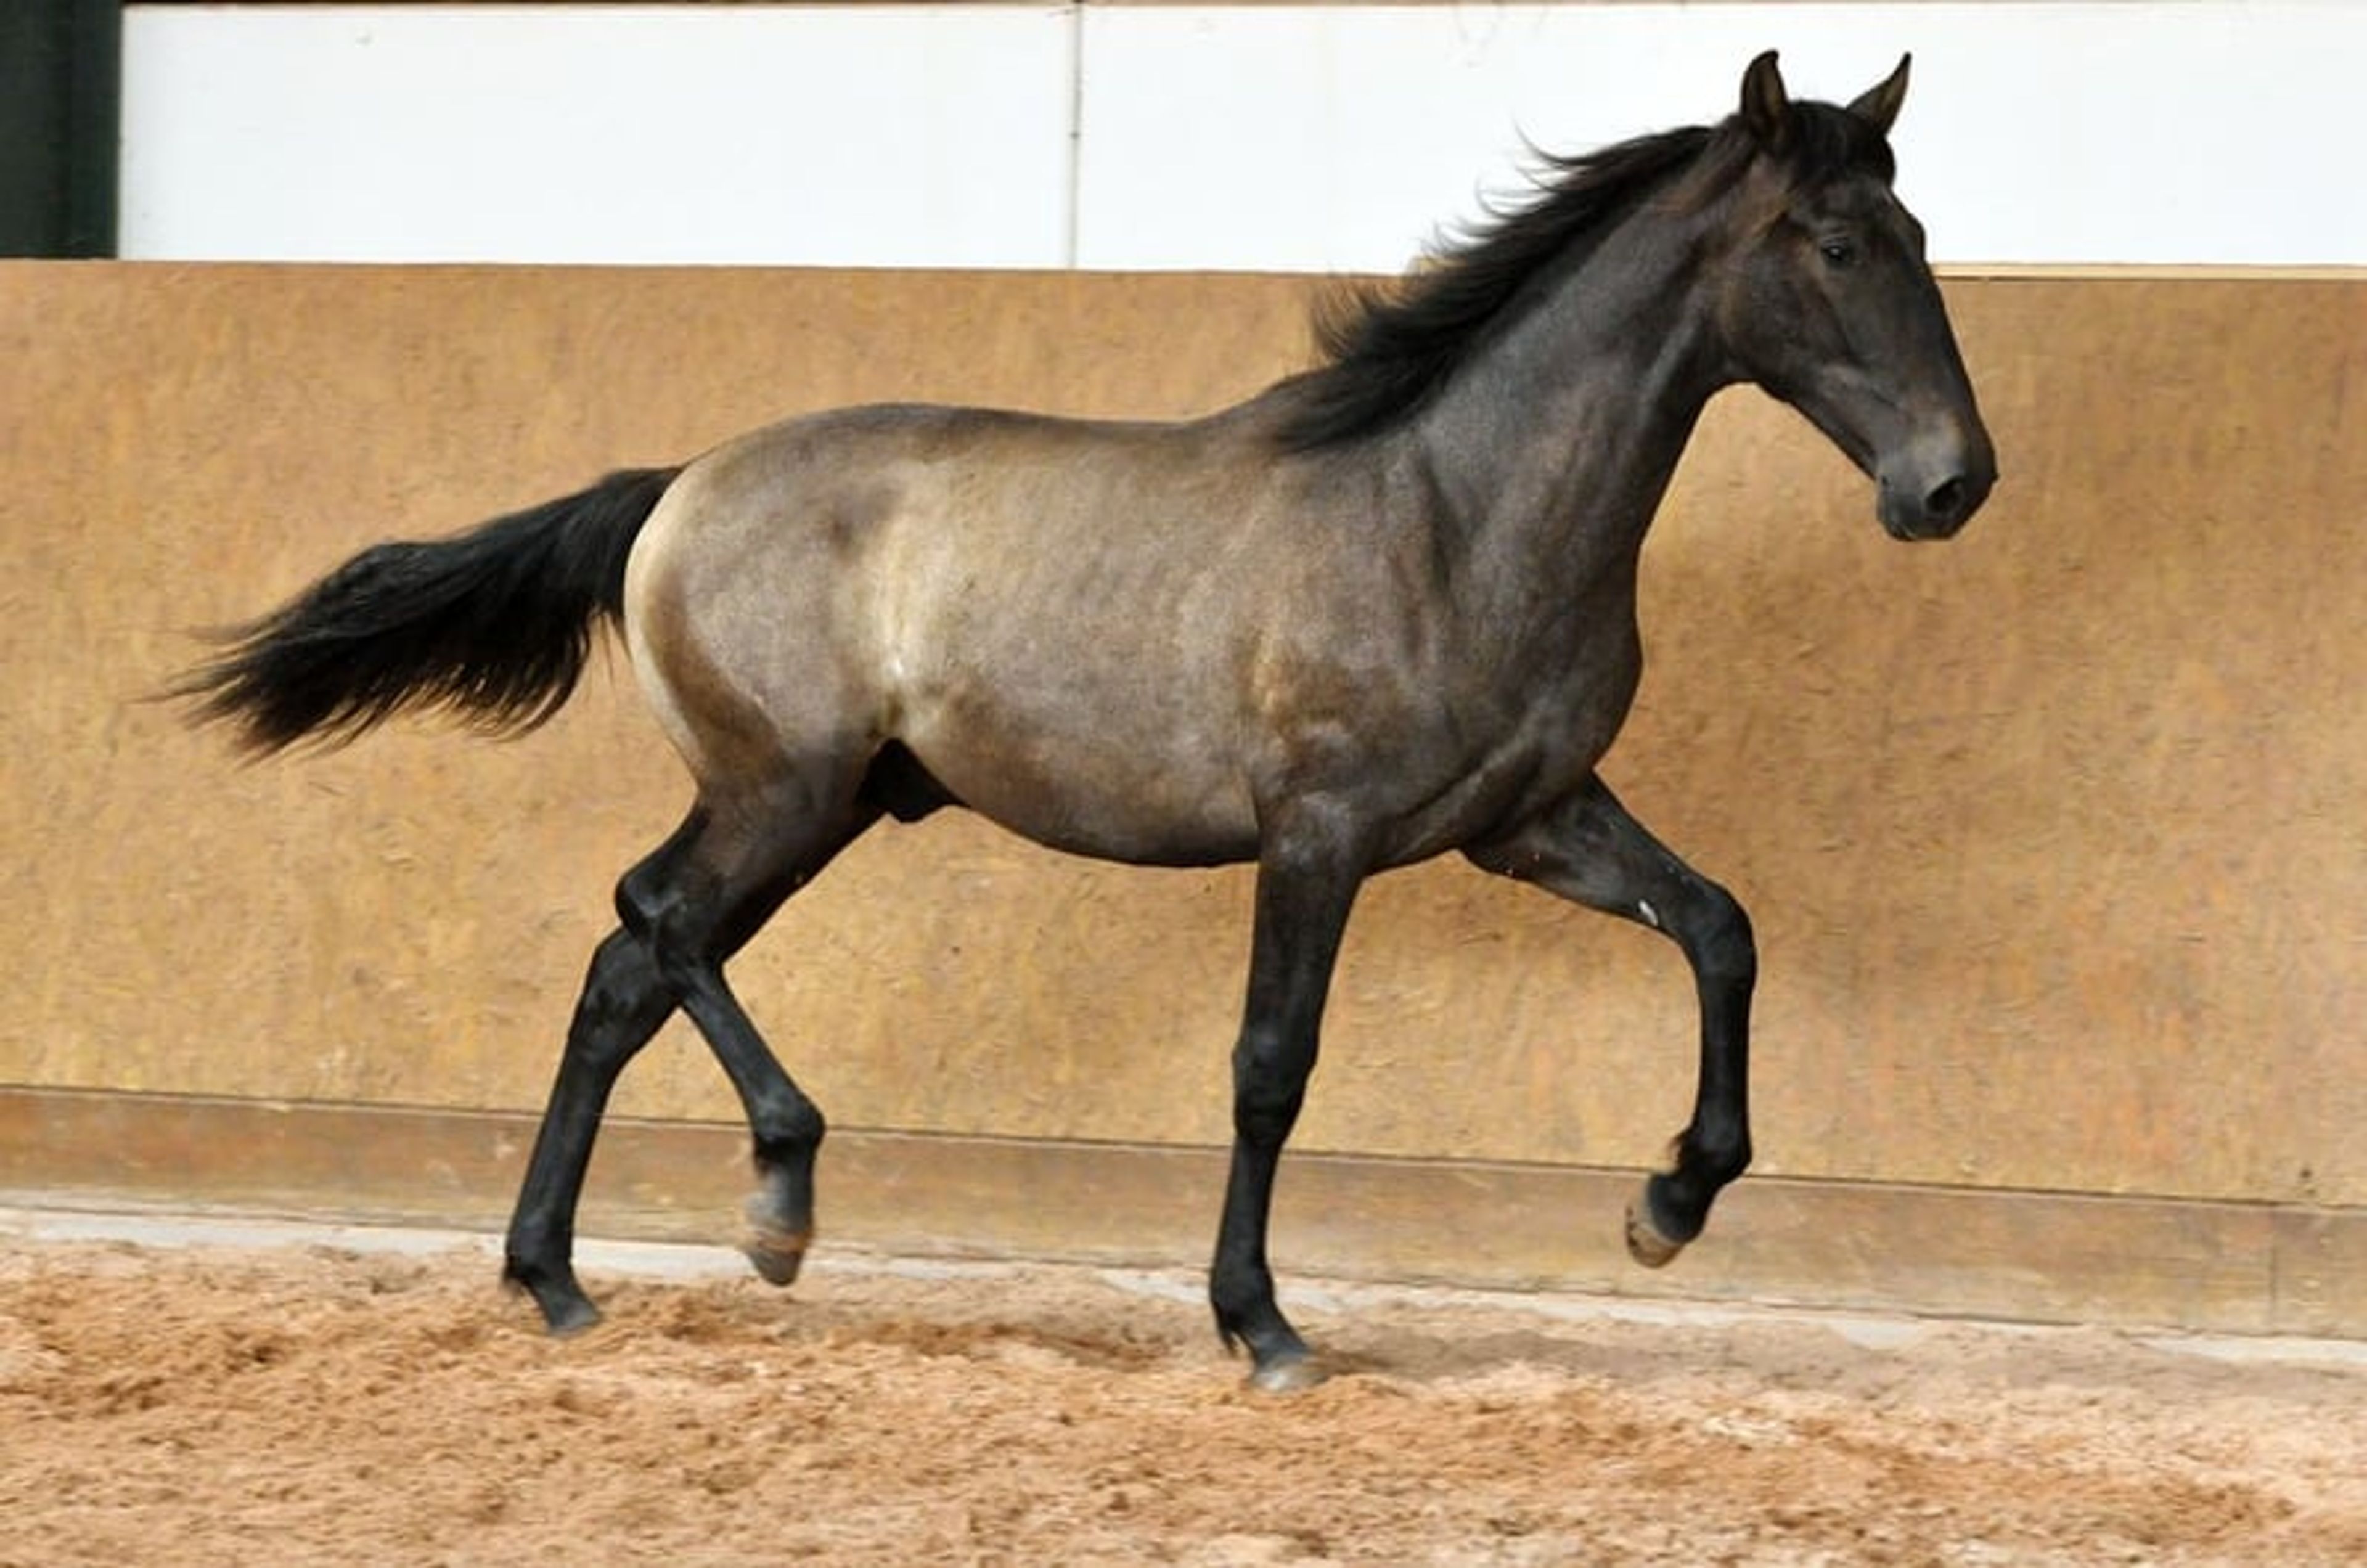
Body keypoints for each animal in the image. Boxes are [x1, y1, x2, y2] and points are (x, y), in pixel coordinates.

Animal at [174, 52, 1994, 1391]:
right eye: (1835, 245)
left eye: (1919, 240)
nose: (1950, 484)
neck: (1449, 513)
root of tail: (676, 486)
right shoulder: (1318, 835)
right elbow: (1270, 1066)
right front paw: (1261, 1326)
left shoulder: (1527, 821)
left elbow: (1720, 928)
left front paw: (1666, 1207)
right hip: (785, 790)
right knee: (651, 921)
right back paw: (775, 1198)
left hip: (823, 807)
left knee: (629, 969)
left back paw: (554, 1279)